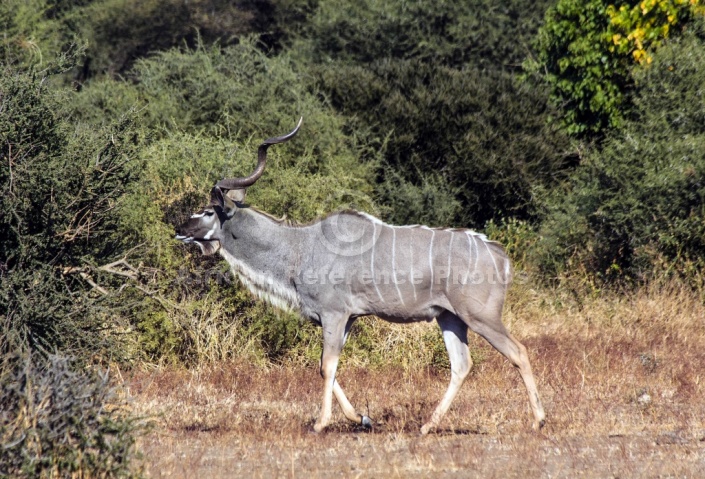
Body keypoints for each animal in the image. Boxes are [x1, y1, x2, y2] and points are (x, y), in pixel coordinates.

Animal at [175, 118, 544, 434]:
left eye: (207, 212)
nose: (179, 228)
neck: (300, 247)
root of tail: (500, 255)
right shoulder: (347, 318)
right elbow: (328, 366)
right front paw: (363, 419)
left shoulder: (334, 314)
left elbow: (326, 365)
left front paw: (320, 424)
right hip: (449, 317)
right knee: (461, 364)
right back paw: (426, 426)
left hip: (480, 316)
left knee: (519, 352)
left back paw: (538, 421)